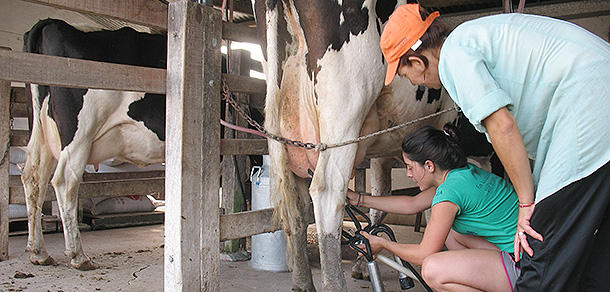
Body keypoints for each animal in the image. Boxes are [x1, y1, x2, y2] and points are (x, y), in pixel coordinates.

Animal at [21, 18, 167, 270]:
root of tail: (53, 22)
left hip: (43, 133)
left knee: (34, 178)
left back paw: (39, 252)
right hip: (80, 131)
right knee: (64, 181)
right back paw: (78, 255)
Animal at [252, 0, 494, 292]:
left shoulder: (384, 154)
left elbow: (383, 202)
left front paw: (363, 264)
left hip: (284, 127)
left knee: (295, 204)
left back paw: (302, 282)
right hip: (346, 105)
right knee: (327, 193)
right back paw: (334, 284)